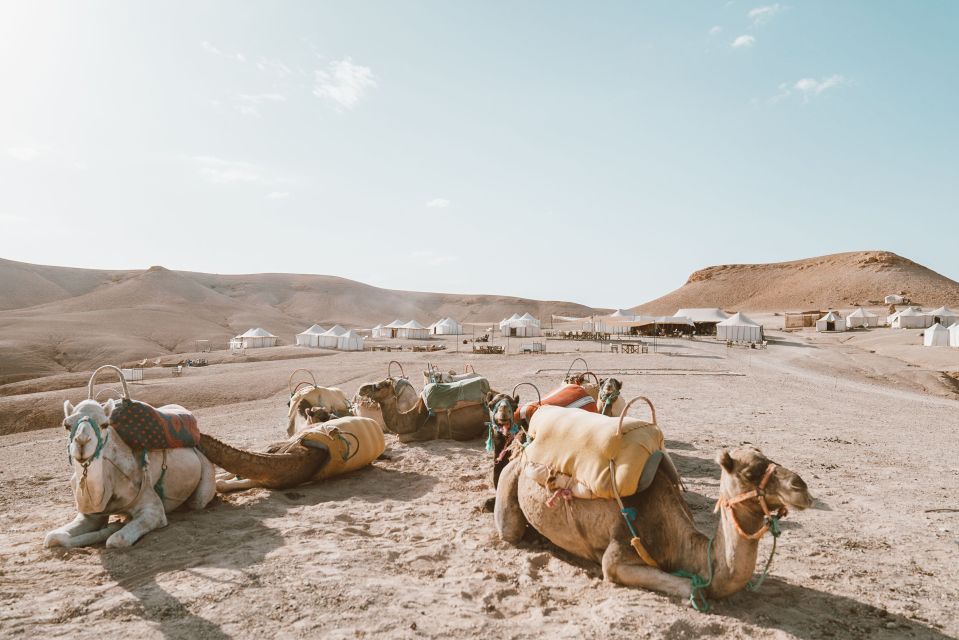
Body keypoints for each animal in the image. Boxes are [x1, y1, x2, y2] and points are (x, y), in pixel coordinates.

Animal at [46, 398, 217, 548]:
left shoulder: (153, 509)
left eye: (105, 424)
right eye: (66, 425)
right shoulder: (89, 515)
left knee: (198, 501)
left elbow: (116, 540)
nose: (82, 442)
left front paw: (113, 529)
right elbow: (52, 537)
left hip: (204, 475)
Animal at [356, 378, 488, 442]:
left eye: (379, 387)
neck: (415, 417)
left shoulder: (430, 431)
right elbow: (398, 435)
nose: (361, 388)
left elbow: (400, 437)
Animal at [498, 444, 812, 608]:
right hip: (510, 478)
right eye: (748, 473)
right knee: (509, 530)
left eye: (771, 460)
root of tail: (523, 447)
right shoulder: (618, 555)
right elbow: (691, 587)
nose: (801, 487)